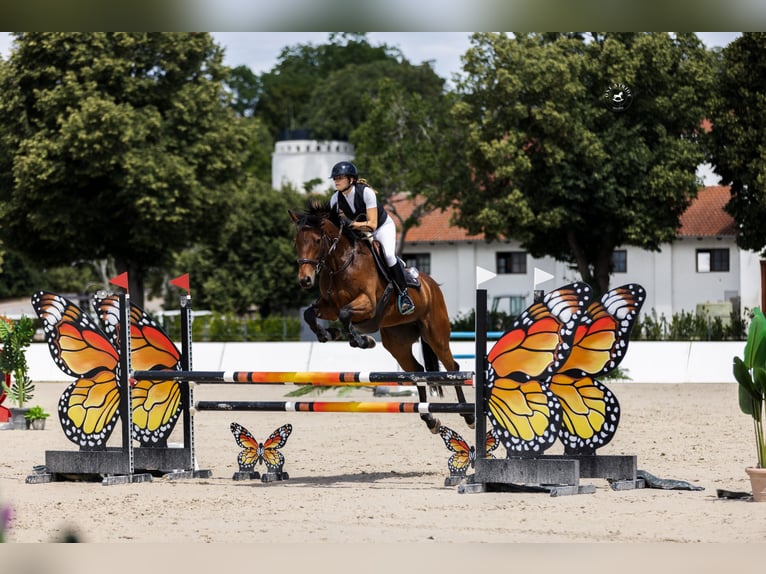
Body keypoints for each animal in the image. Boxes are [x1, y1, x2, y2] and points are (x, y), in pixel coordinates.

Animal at [288, 200, 474, 433]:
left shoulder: (368, 304)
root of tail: (432, 286)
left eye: (317, 240)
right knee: (417, 371)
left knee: (452, 369)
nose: (305, 280)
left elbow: (345, 314)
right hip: (397, 342)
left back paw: (468, 416)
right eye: (297, 242)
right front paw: (328, 334)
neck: (341, 263)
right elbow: (310, 314)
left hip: (436, 335)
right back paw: (430, 419)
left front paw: (363, 340)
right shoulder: (329, 305)